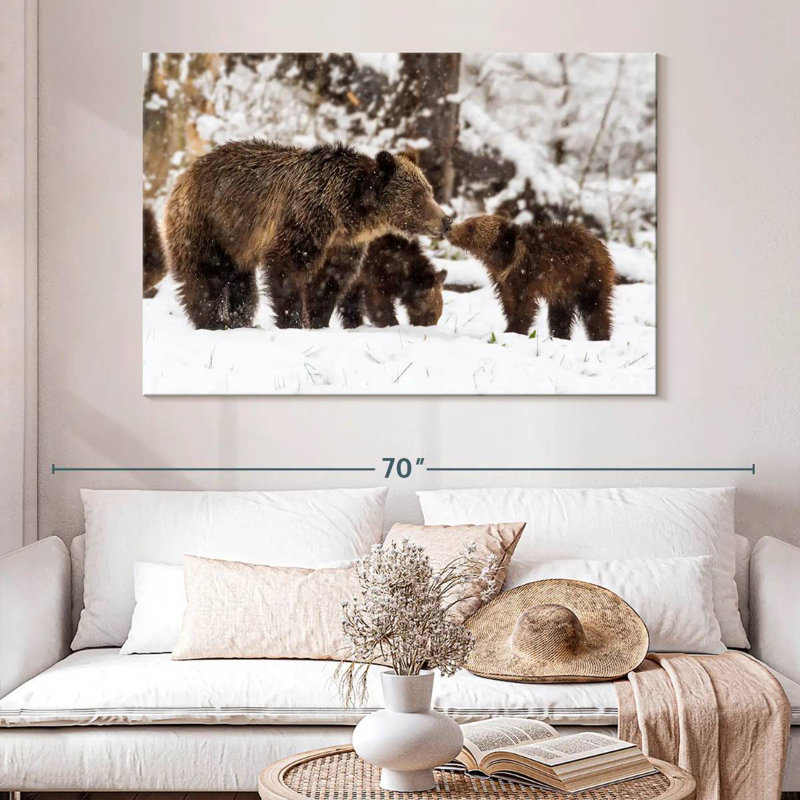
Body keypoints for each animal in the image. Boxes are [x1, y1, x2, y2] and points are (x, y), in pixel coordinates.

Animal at [163, 140, 452, 331]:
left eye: (429, 190)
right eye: (418, 197)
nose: (446, 220)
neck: (347, 211)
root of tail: (185, 173)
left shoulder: (343, 244)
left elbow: (329, 282)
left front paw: (317, 321)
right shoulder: (306, 220)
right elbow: (286, 269)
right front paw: (292, 321)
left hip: (238, 243)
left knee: (242, 285)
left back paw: (239, 320)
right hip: (207, 223)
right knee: (204, 275)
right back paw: (212, 322)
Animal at [447, 215, 615, 340]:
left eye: (471, 227)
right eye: (467, 221)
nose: (449, 227)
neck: (503, 260)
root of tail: (599, 242)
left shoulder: (526, 277)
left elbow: (524, 306)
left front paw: (514, 330)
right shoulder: (502, 281)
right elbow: (508, 302)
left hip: (588, 277)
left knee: (595, 308)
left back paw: (601, 336)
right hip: (564, 288)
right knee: (560, 314)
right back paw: (560, 336)